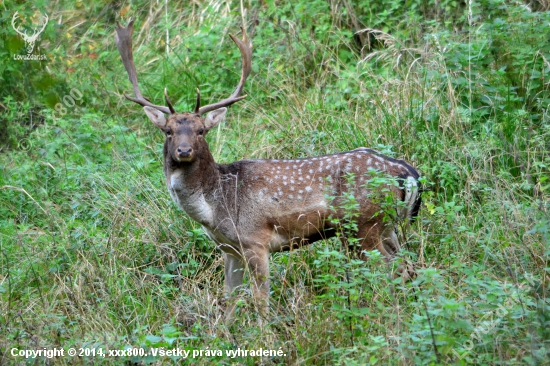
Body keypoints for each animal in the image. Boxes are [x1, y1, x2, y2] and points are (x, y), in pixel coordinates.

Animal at [113, 20, 422, 314]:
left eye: (201, 131)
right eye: (168, 131)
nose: (184, 150)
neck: (215, 207)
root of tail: (408, 175)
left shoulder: (255, 240)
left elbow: (261, 300)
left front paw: (265, 333)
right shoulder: (229, 249)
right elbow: (229, 300)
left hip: (363, 224)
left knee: (391, 269)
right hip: (385, 226)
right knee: (408, 266)